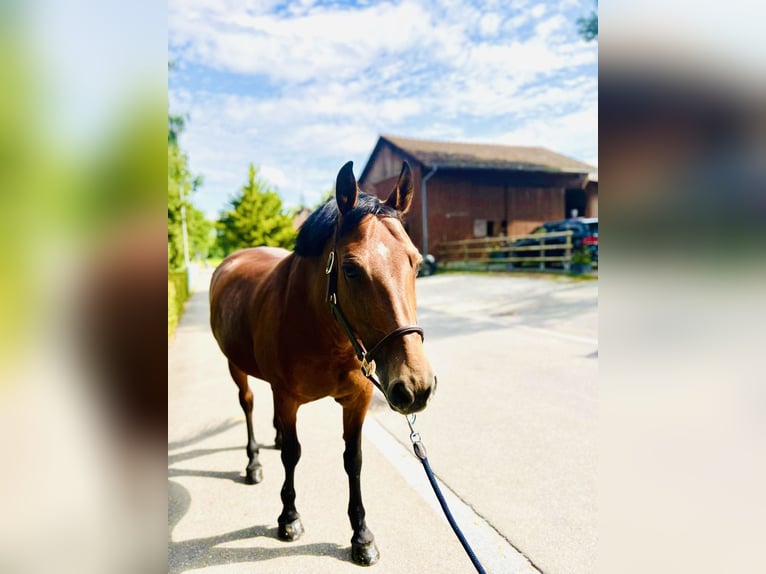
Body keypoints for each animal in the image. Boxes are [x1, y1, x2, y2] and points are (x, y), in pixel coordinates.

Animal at [210, 161, 438, 568]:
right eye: (350, 269)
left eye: (414, 262)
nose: (415, 386)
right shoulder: (287, 398)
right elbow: (293, 454)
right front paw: (288, 517)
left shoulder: (357, 402)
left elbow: (353, 459)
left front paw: (361, 535)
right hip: (236, 366)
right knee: (248, 404)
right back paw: (254, 463)